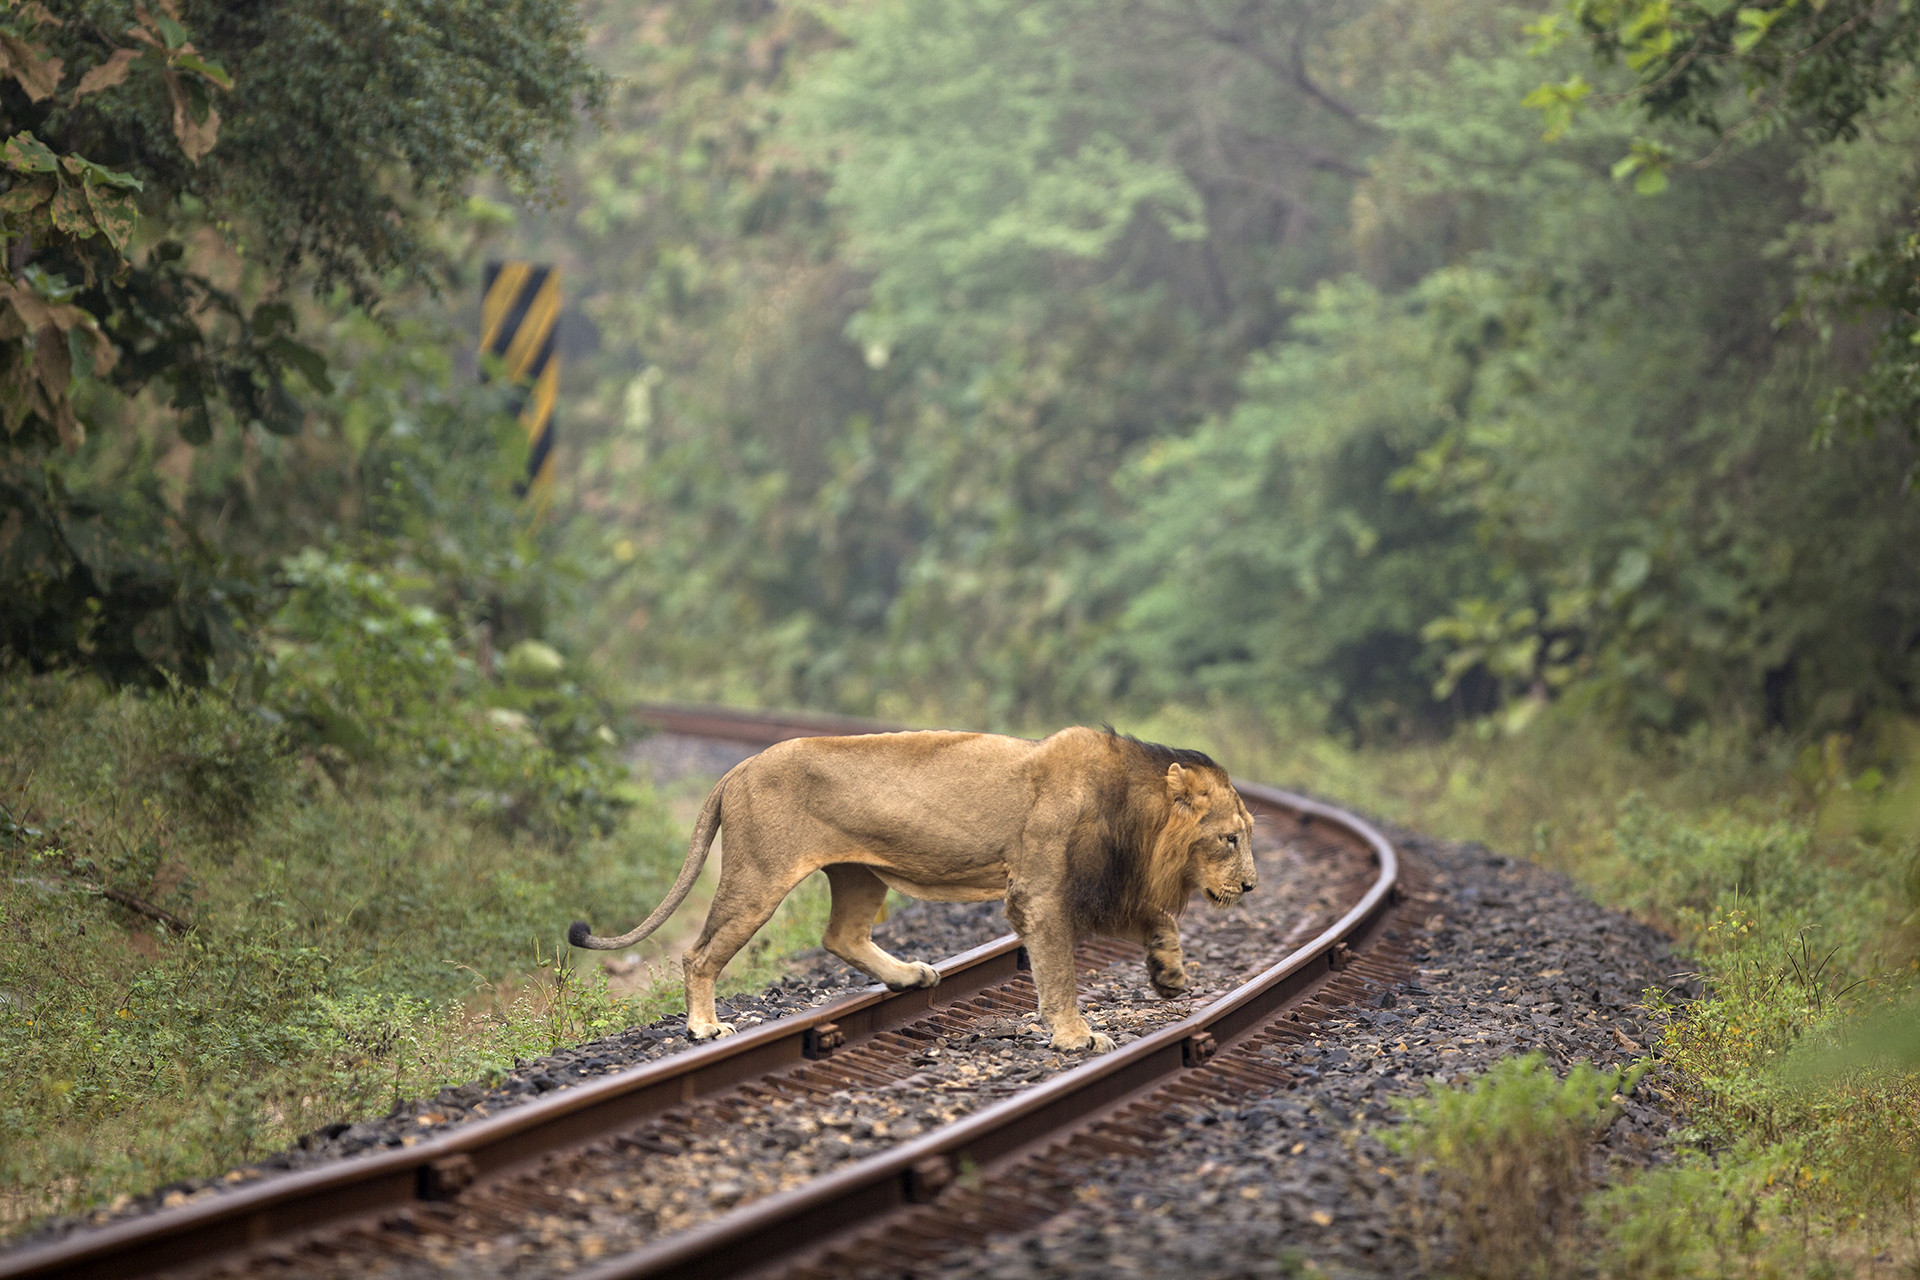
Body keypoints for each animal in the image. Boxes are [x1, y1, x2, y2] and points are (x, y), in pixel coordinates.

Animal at [568, 726, 1257, 1052]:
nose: (1252, 886)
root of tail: (736, 768)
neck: (1136, 817)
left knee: (841, 935)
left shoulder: (1105, 886)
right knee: (698, 953)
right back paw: (705, 1029)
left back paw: (909, 976)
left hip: (858, 873)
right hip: (758, 876)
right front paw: (1074, 1037)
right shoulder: (1040, 892)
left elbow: (1158, 918)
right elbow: (1058, 971)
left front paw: (1169, 974)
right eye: (1229, 839)